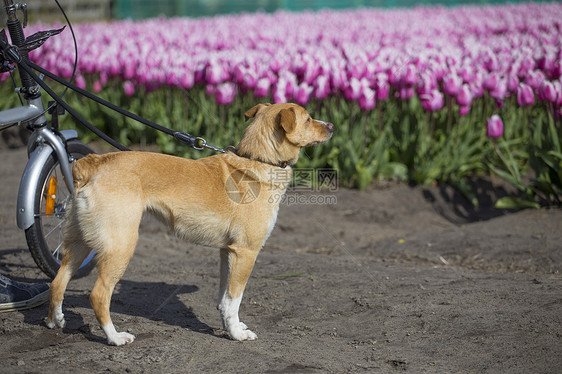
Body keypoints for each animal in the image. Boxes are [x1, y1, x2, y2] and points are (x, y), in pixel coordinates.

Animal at [47, 102, 332, 344]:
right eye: (308, 119)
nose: (330, 126)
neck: (257, 160)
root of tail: (94, 163)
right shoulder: (246, 252)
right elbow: (235, 298)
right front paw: (237, 334)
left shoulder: (227, 252)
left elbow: (224, 298)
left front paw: (230, 326)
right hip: (120, 247)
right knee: (98, 295)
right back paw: (115, 337)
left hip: (79, 243)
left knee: (58, 281)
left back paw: (54, 321)